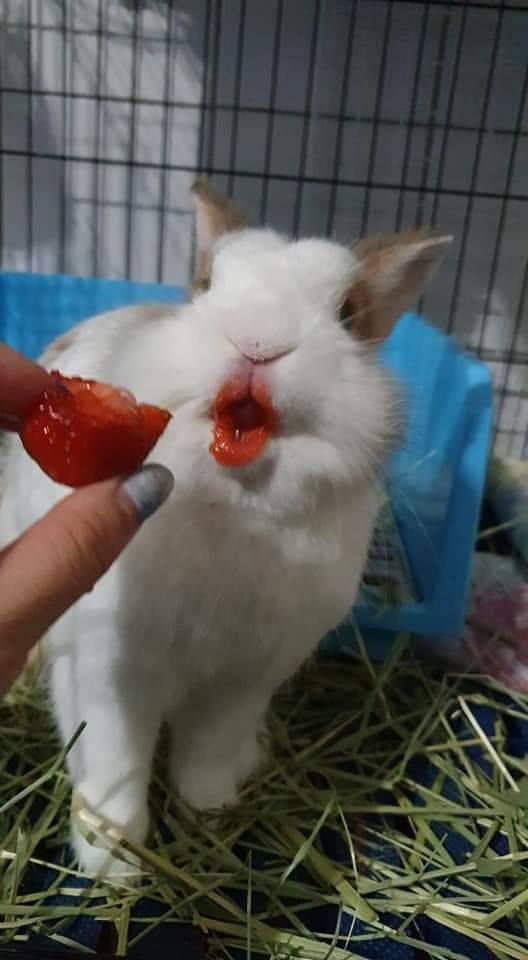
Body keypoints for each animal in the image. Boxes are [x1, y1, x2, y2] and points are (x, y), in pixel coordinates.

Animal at [0, 182, 450, 876]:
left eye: (348, 313)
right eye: (207, 284)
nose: (257, 345)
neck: (240, 509)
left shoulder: (245, 679)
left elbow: (207, 750)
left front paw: (209, 812)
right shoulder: (112, 674)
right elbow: (116, 761)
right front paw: (115, 865)